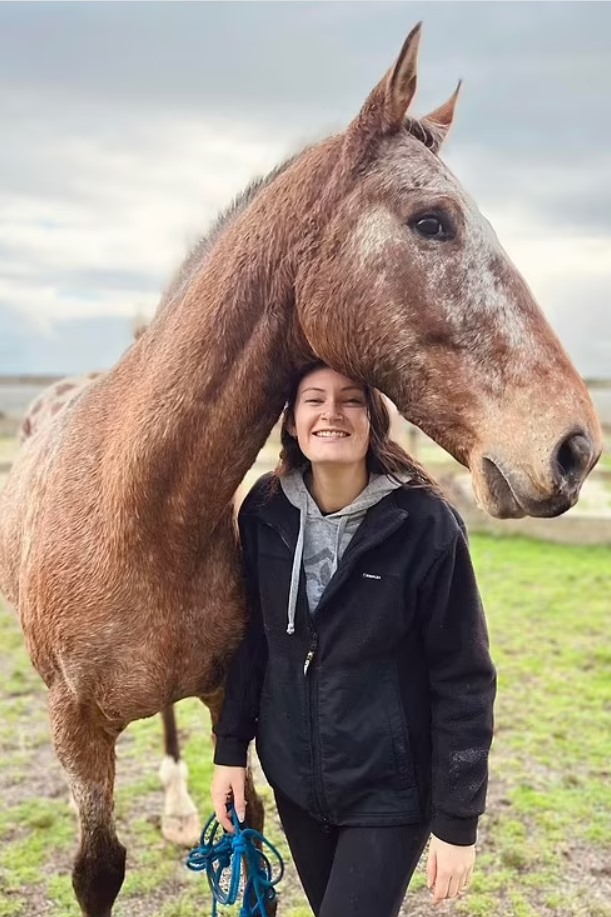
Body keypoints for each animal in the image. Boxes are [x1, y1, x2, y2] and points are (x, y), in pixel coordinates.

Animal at [0, 21, 604, 916]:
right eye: (432, 221)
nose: (574, 448)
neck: (135, 511)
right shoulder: (75, 727)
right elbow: (97, 870)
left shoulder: (231, 692)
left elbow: (247, 828)